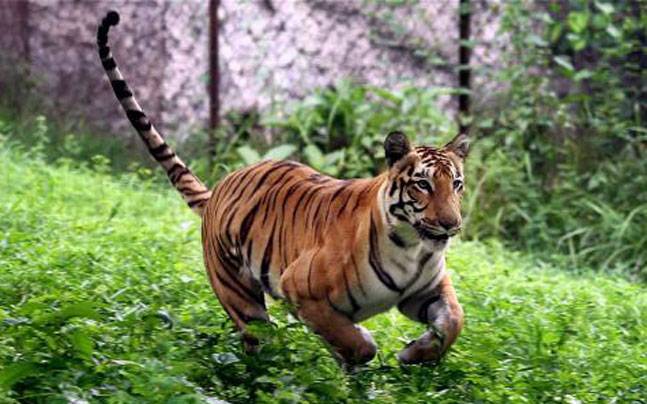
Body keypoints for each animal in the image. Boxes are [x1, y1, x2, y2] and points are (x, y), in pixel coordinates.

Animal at [97, 10, 466, 366]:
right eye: (423, 184)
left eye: (457, 185)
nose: (452, 224)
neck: (412, 248)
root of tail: (219, 189)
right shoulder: (300, 288)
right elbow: (353, 342)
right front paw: (367, 346)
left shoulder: (427, 290)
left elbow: (454, 319)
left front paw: (415, 354)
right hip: (239, 296)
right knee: (260, 344)